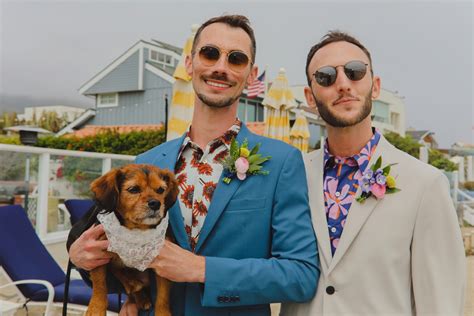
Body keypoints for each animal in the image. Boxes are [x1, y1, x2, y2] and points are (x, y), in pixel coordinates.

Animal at [66, 164, 178, 316]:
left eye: (161, 190)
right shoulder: (97, 255)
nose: (156, 203)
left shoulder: (163, 265)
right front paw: (96, 309)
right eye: (133, 189)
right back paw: (133, 285)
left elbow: (163, 297)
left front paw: (163, 313)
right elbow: (100, 286)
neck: (136, 230)